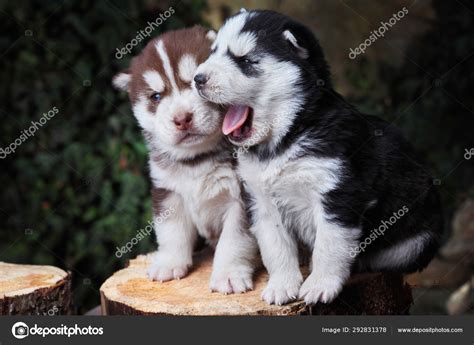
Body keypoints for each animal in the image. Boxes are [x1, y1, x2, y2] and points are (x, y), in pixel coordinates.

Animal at [191, 10, 442, 304]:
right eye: (215, 52)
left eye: (245, 60)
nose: (197, 79)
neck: (287, 137)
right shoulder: (261, 201)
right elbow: (275, 247)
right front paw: (281, 285)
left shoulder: (338, 195)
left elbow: (329, 246)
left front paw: (320, 284)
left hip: (417, 241)